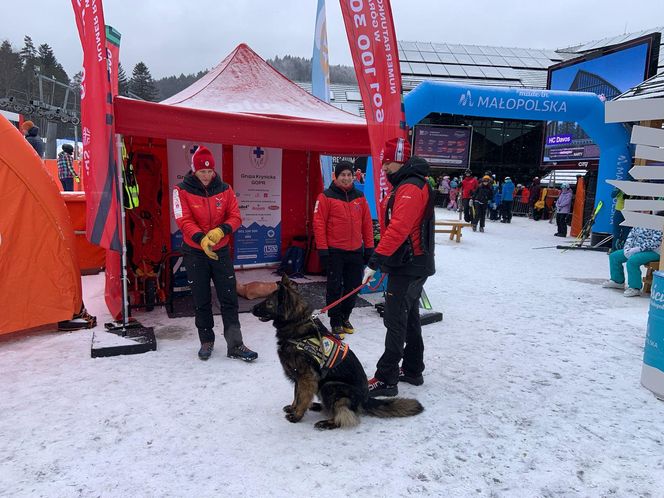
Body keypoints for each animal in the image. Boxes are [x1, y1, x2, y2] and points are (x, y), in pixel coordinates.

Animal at [252, 274, 422, 430]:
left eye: (268, 303)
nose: (252, 309)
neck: (297, 323)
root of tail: (365, 399)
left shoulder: (306, 377)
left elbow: (302, 397)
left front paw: (297, 415)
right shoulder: (300, 377)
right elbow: (297, 395)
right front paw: (294, 408)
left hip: (330, 386)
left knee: (344, 415)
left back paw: (327, 423)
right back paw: (316, 406)